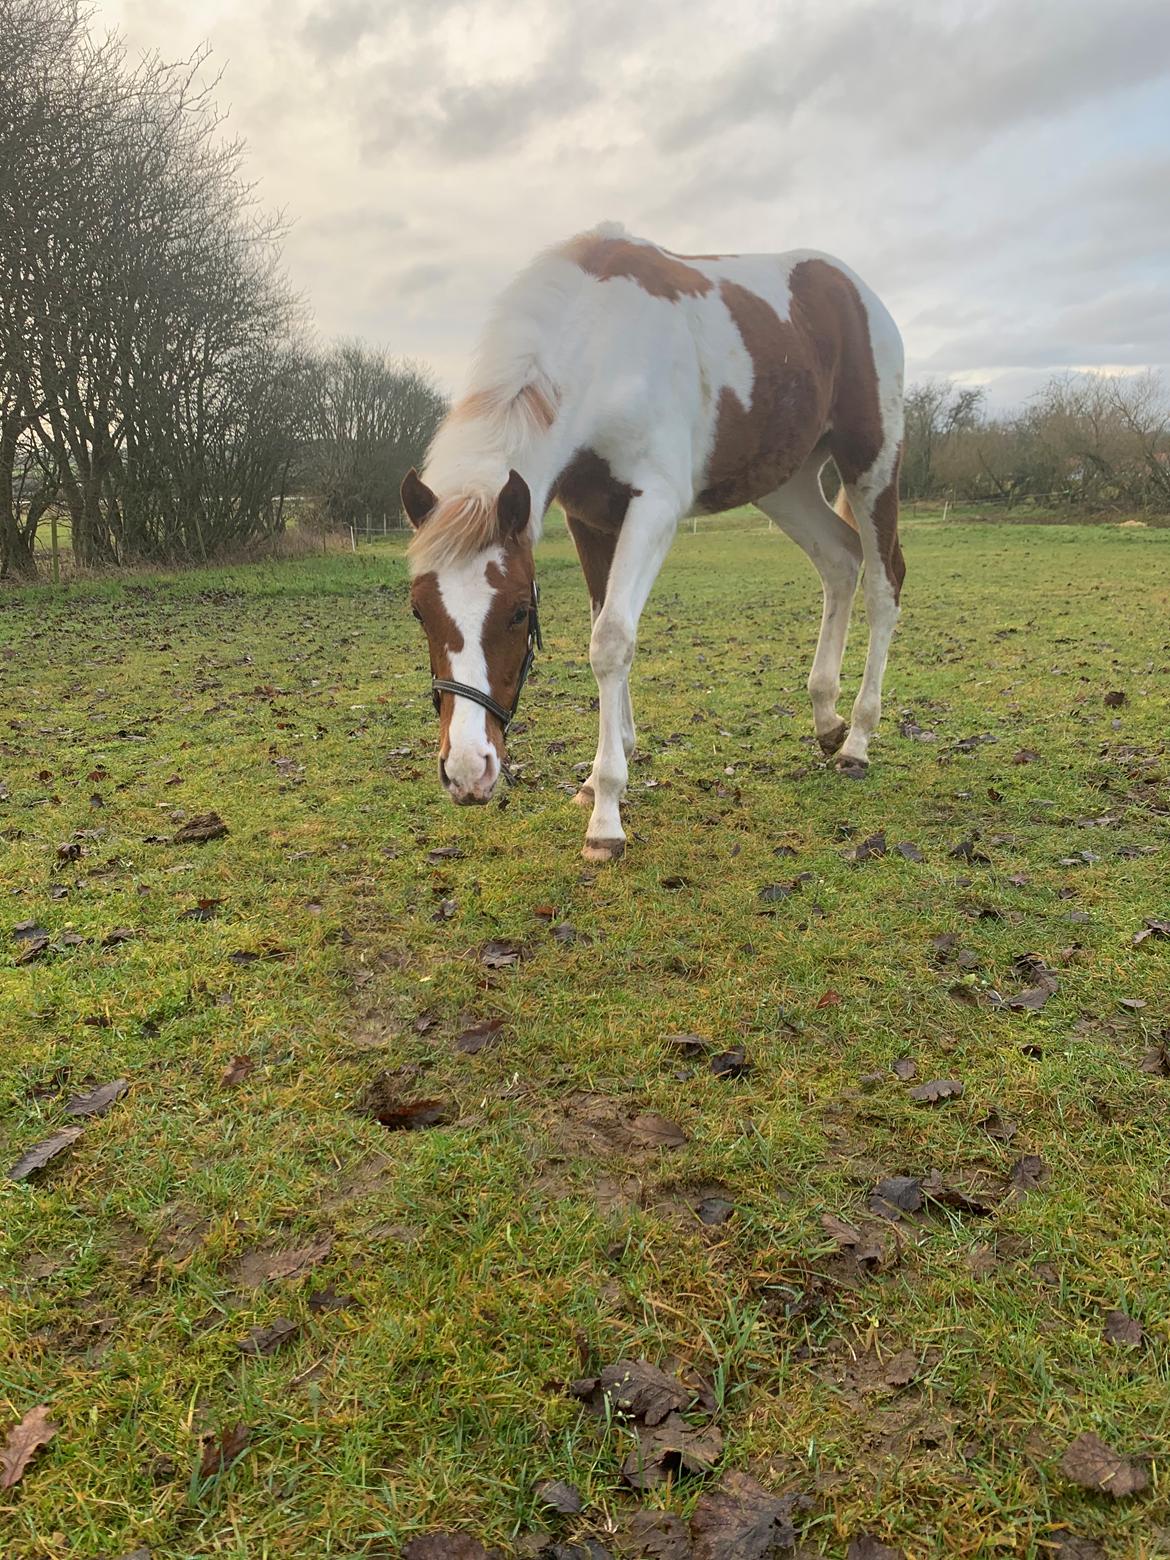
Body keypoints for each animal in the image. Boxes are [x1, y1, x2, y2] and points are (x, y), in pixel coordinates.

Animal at [402, 221, 904, 867]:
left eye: (517, 612)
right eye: (420, 611)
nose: (467, 772)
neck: (603, 345)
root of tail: (851, 288)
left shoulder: (656, 505)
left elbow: (611, 641)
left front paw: (606, 818)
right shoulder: (589, 519)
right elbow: (601, 626)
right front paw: (599, 778)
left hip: (872, 462)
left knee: (884, 584)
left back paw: (858, 740)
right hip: (786, 484)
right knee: (840, 560)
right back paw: (825, 718)